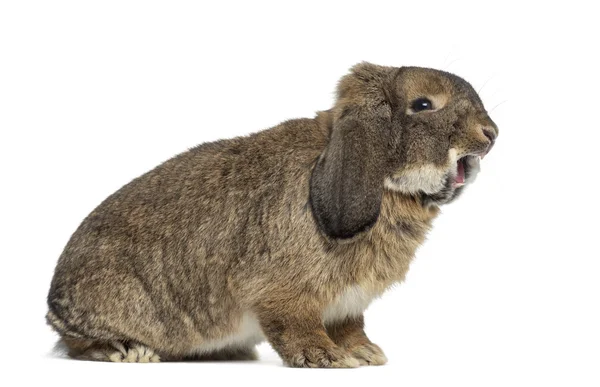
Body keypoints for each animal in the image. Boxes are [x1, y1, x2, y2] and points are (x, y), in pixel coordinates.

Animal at [47, 62, 496, 368]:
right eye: (423, 104)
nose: (491, 133)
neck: (387, 188)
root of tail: (54, 300)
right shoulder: (282, 292)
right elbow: (293, 325)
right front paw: (324, 358)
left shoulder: (347, 305)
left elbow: (350, 327)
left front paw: (366, 353)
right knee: (77, 344)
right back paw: (127, 351)